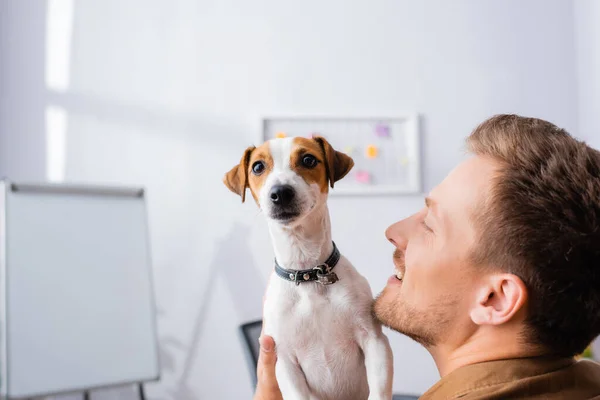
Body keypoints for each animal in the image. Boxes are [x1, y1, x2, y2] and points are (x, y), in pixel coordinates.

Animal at [224, 135, 394, 400]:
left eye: (308, 160)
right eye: (258, 167)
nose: (280, 192)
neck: (309, 273)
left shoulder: (375, 342)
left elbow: (378, 391)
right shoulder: (283, 360)